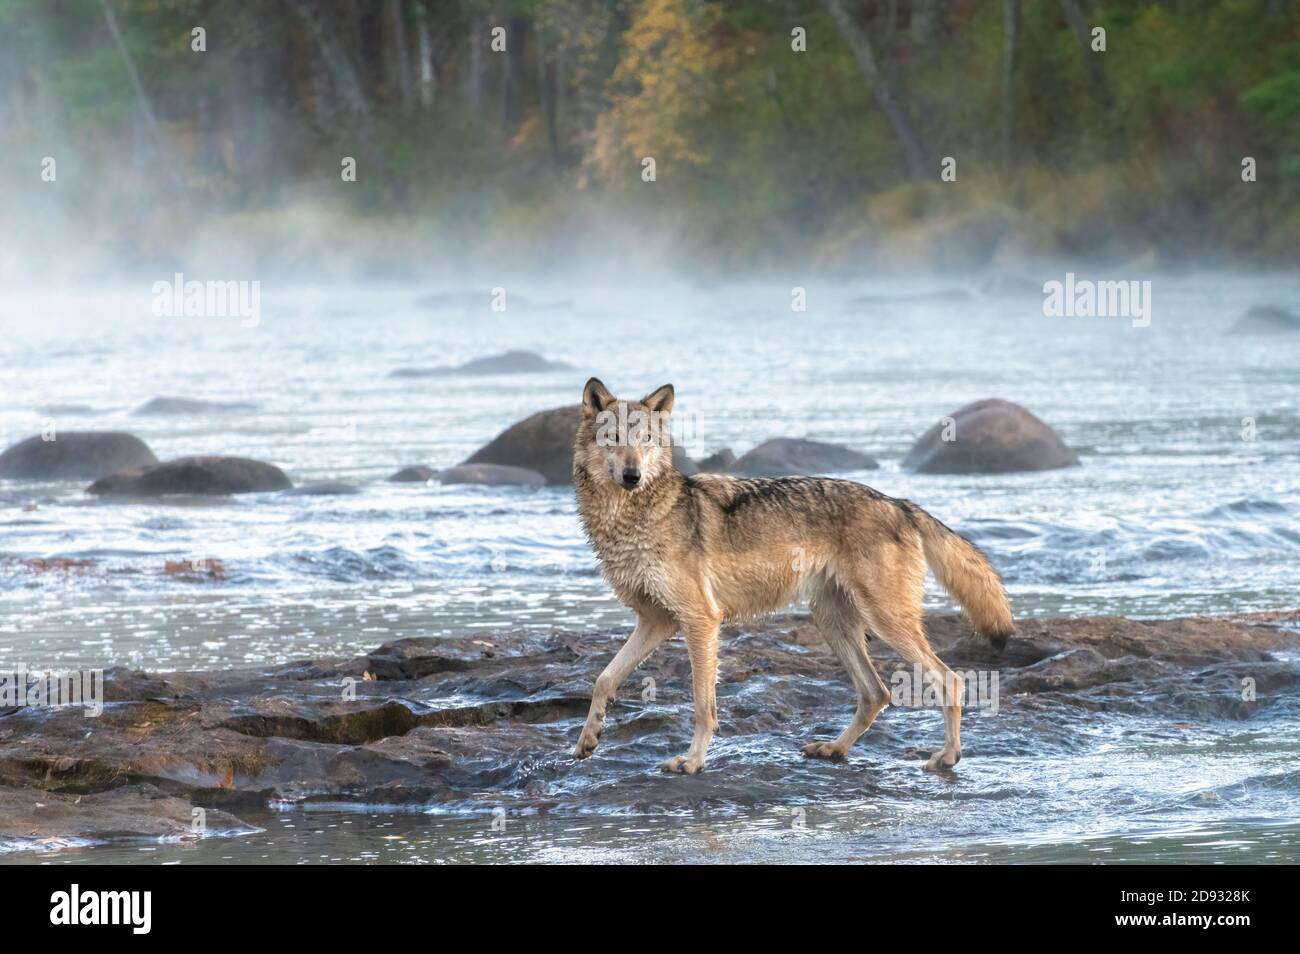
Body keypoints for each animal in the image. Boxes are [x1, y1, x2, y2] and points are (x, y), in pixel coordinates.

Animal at [572, 378, 1014, 775]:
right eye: (613, 437)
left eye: (645, 439)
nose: (632, 476)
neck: (635, 516)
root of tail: (899, 503)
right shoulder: (656, 621)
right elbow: (603, 679)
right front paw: (587, 740)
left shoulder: (701, 620)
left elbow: (702, 705)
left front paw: (693, 761)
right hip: (833, 622)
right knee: (877, 693)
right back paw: (835, 749)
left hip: (883, 622)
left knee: (950, 681)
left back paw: (947, 757)